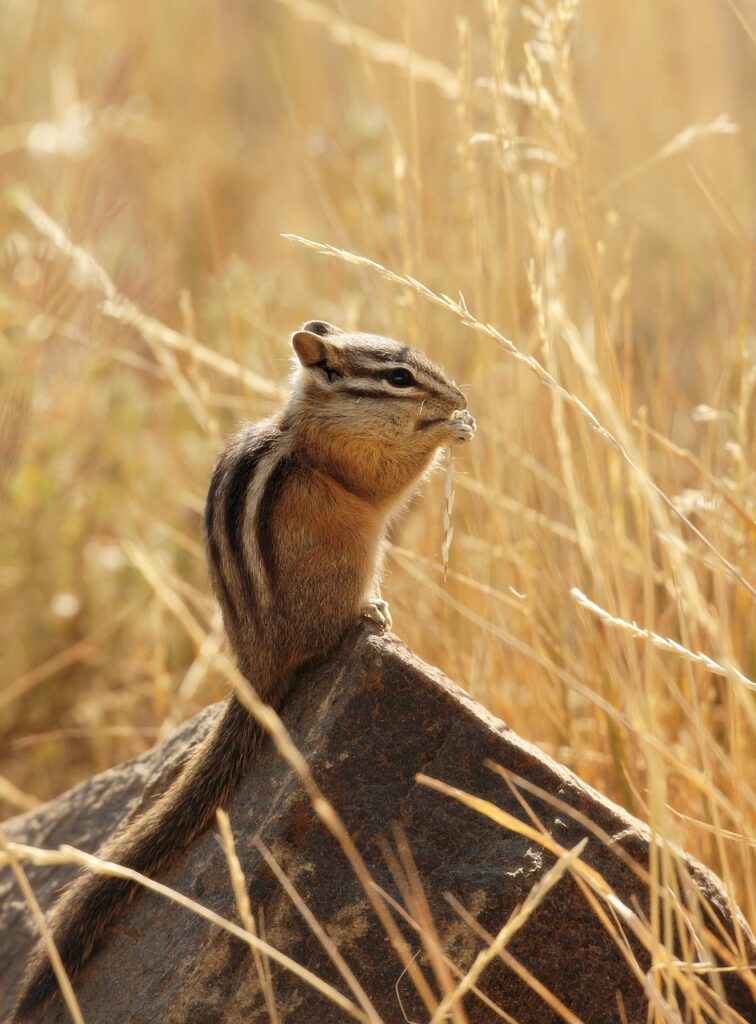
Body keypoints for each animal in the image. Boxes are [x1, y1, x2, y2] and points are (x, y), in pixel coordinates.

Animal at [13, 320, 476, 1019]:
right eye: (398, 378)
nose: (457, 394)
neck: (315, 418)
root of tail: (256, 658)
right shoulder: (356, 458)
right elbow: (389, 478)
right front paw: (450, 429)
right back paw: (369, 614)